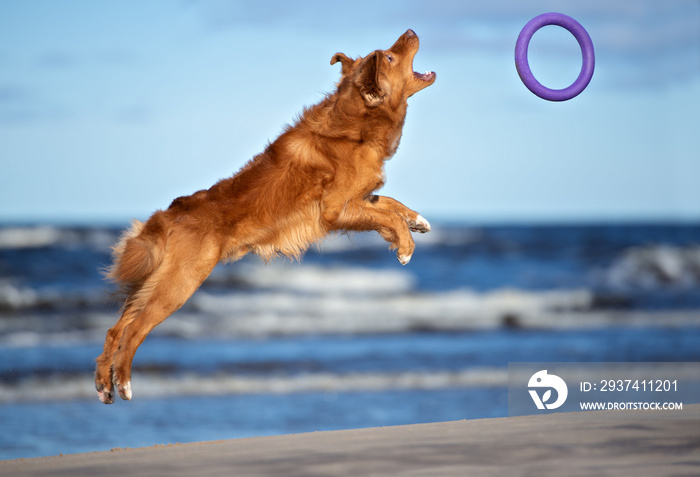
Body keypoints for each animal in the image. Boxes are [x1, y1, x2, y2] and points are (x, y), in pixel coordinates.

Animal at [95, 28, 434, 402]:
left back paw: (104, 384)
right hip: (180, 284)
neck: (355, 123)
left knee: (115, 328)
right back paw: (123, 381)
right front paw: (405, 246)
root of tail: (169, 214)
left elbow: (389, 203)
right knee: (134, 330)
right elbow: (386, 216)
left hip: (157, 280)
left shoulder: (358, 199)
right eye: (389, 56)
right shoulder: (334, 211)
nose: (410, 31)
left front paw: (416, 220)